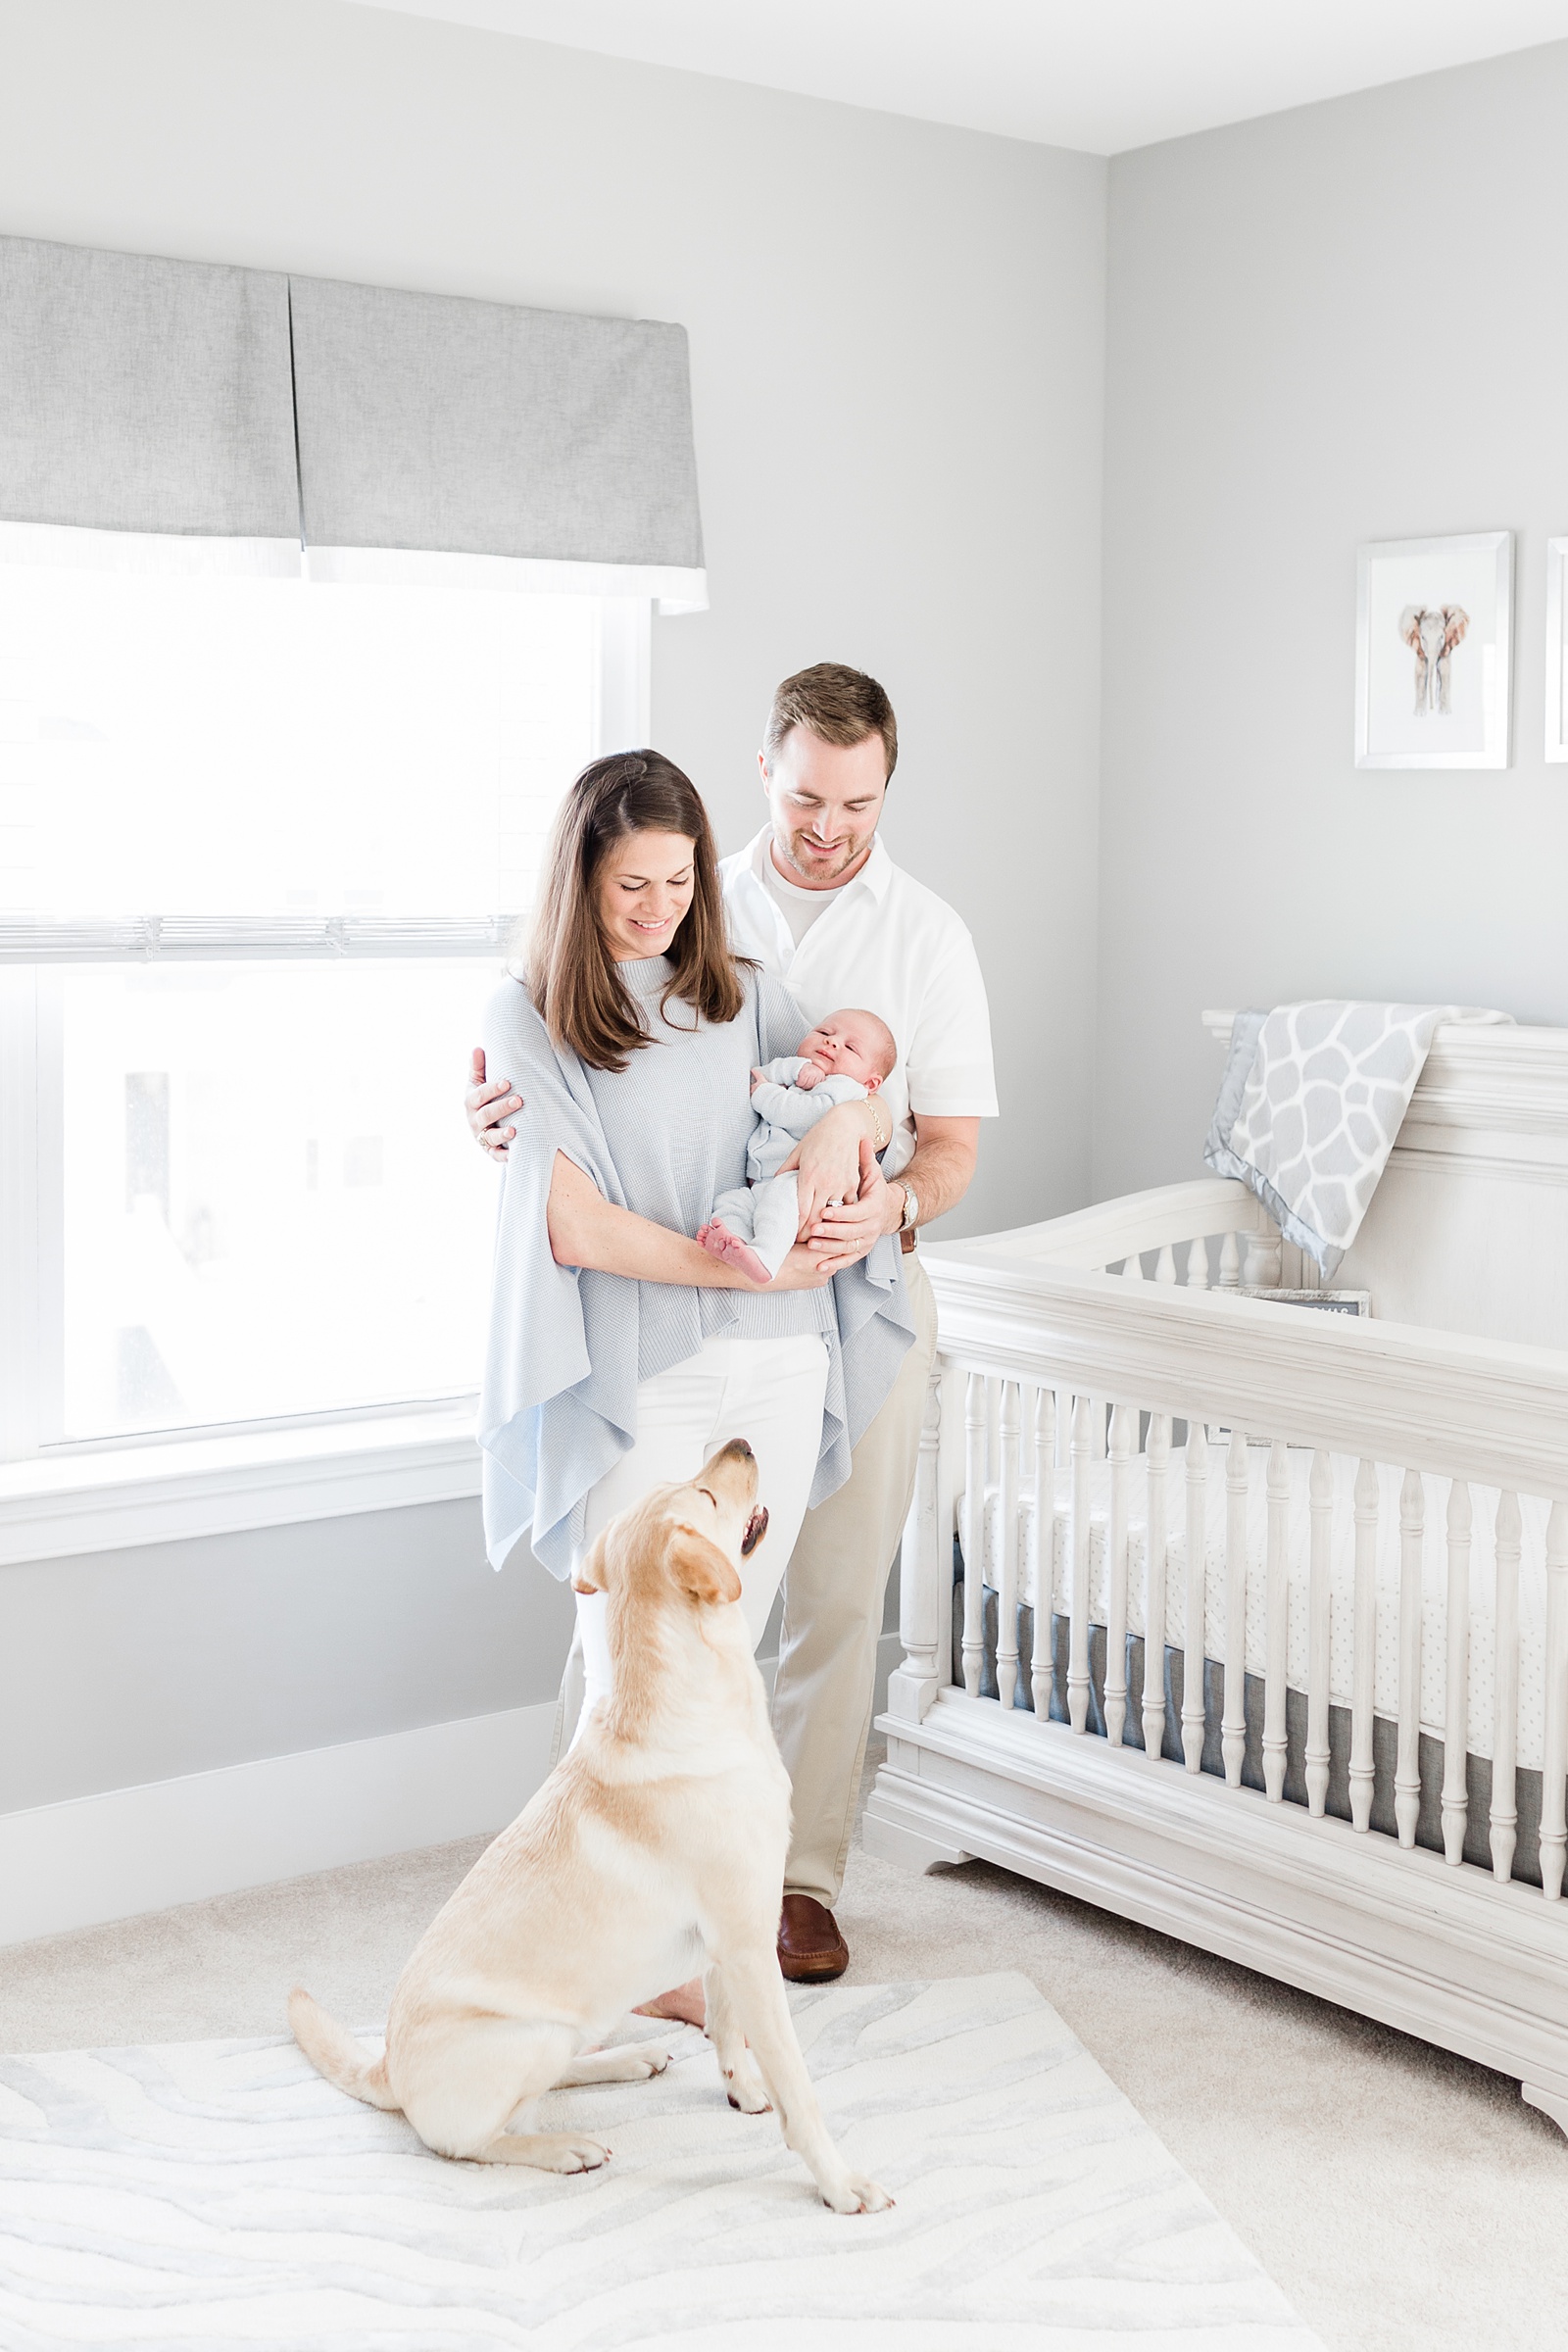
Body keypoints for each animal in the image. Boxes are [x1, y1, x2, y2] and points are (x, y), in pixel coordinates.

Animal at [290, 1439, 888, 2211]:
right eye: (706, 1494)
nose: (742, 1443)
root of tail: (387, 2068)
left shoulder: (734, 1941)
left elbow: (727, 2026)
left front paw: (743, 2089)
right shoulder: (749, 1944)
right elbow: (799, 2087)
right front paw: (840, 2183)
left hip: (570, 2027)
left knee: (555, 2079)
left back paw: (627, 2059)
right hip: (531, 2039)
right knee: (471, 2141)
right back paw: (563, 2146)